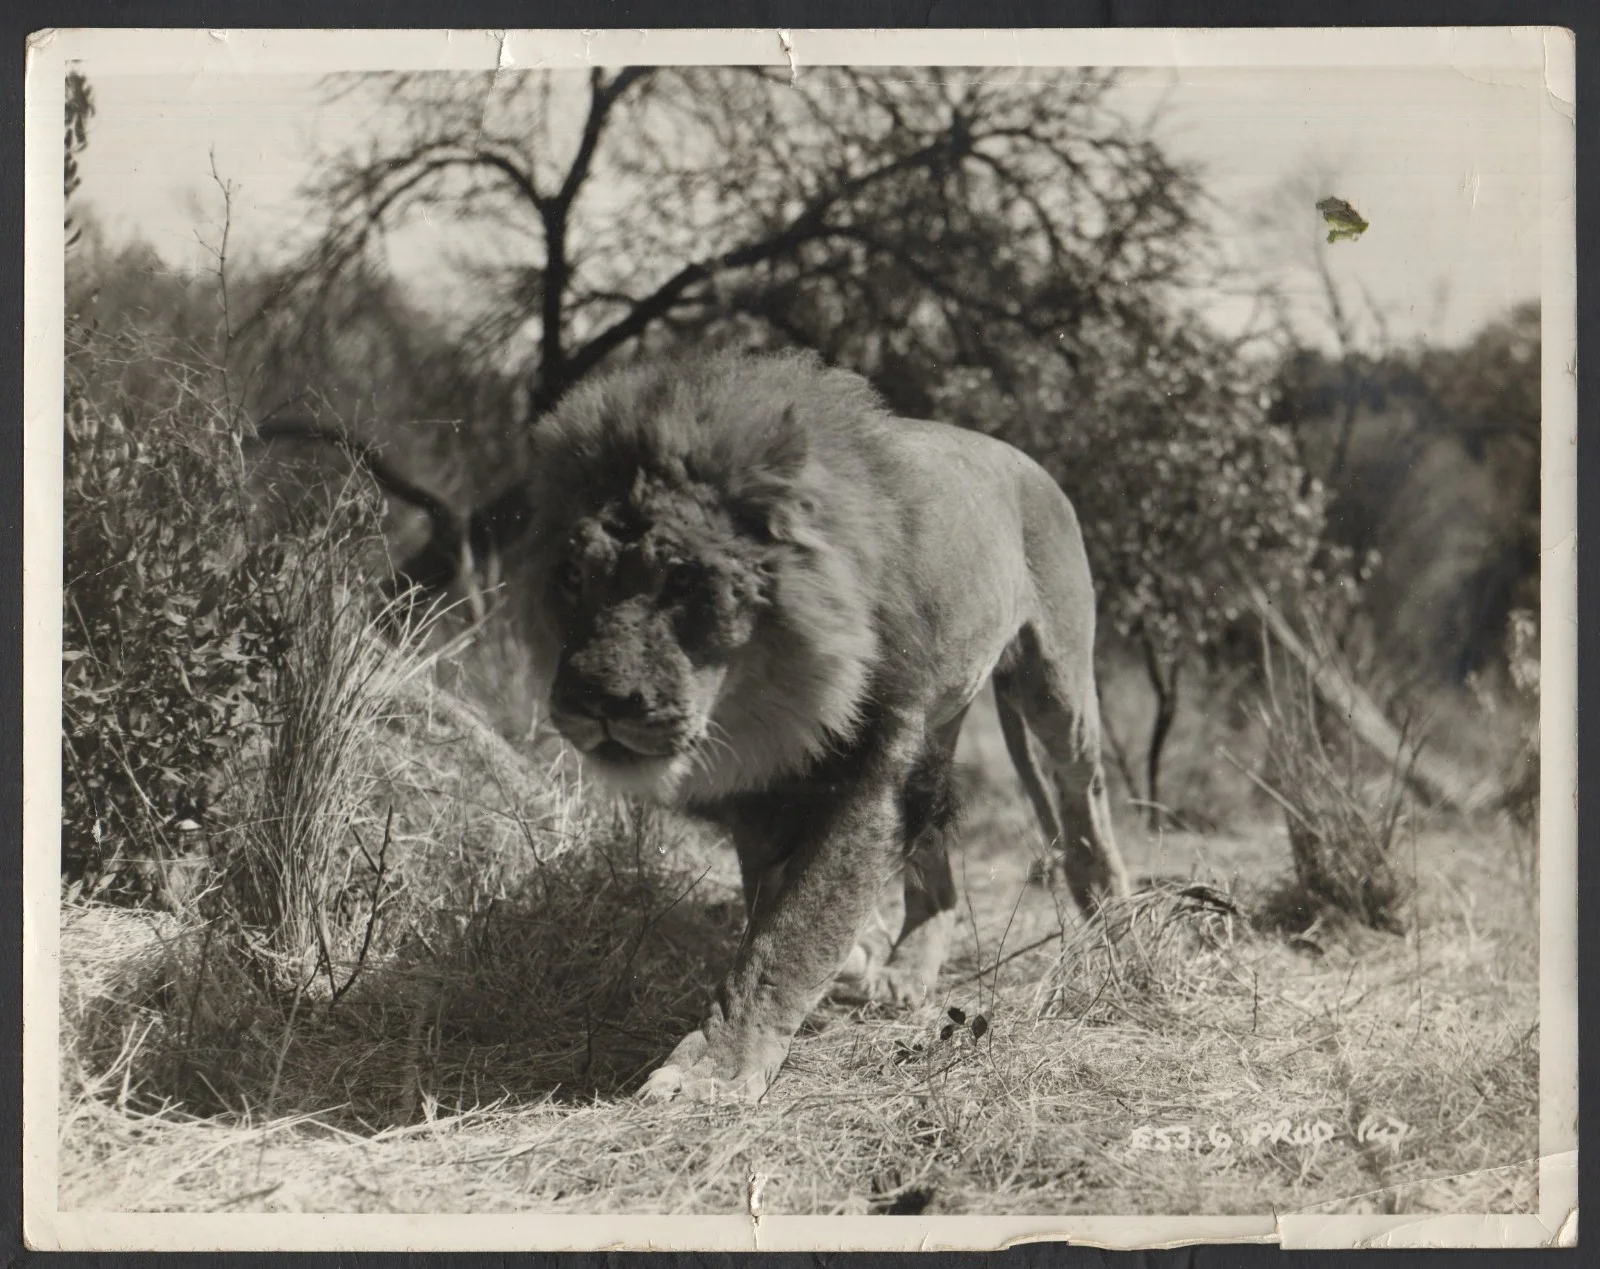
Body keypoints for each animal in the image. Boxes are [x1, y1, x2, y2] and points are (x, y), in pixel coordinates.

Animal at [516, 349, 1130, 1102]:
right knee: (938, 869)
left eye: (684, 582)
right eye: (573, 576)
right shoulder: (766, 793)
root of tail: (1026, 460)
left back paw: (1120, 926)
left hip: (1053, 686)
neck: (768, 703)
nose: (598, 698)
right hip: (940, 724)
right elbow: (771, 909)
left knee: (1083, 797)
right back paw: (904, 973)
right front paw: (851, 960)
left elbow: (792, 931)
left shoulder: (872, 765)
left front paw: (713, 1069)